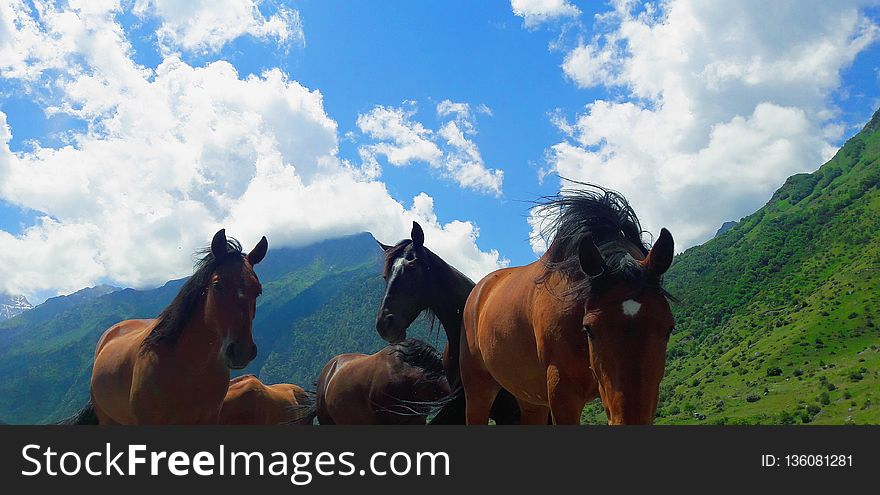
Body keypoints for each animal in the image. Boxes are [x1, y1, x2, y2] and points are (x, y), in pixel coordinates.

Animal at [458, 184, 676, 424]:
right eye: (589, 329)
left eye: (669, 328)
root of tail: (479, 289)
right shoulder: (562, 392)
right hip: (478, 388)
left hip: (531, 399)